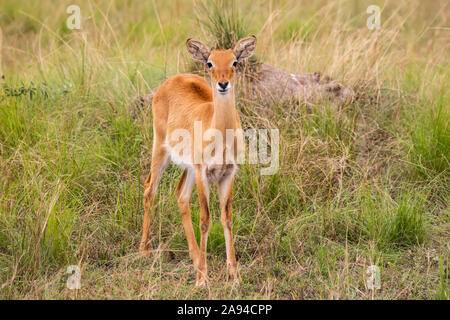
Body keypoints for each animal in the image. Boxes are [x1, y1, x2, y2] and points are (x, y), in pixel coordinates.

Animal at [140, 35, 256, 284]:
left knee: (181, 195)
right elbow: (205, 220)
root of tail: (173, 79)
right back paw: (144, 250)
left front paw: (234, 275)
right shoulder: (204, 174)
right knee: (149, 189)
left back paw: (195, 258)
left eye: (234, 62)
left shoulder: (228, 174)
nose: (223, 84)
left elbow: (226, 218)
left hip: (189, 168)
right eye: (210, 62)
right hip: (161, 150)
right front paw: (202, 279)